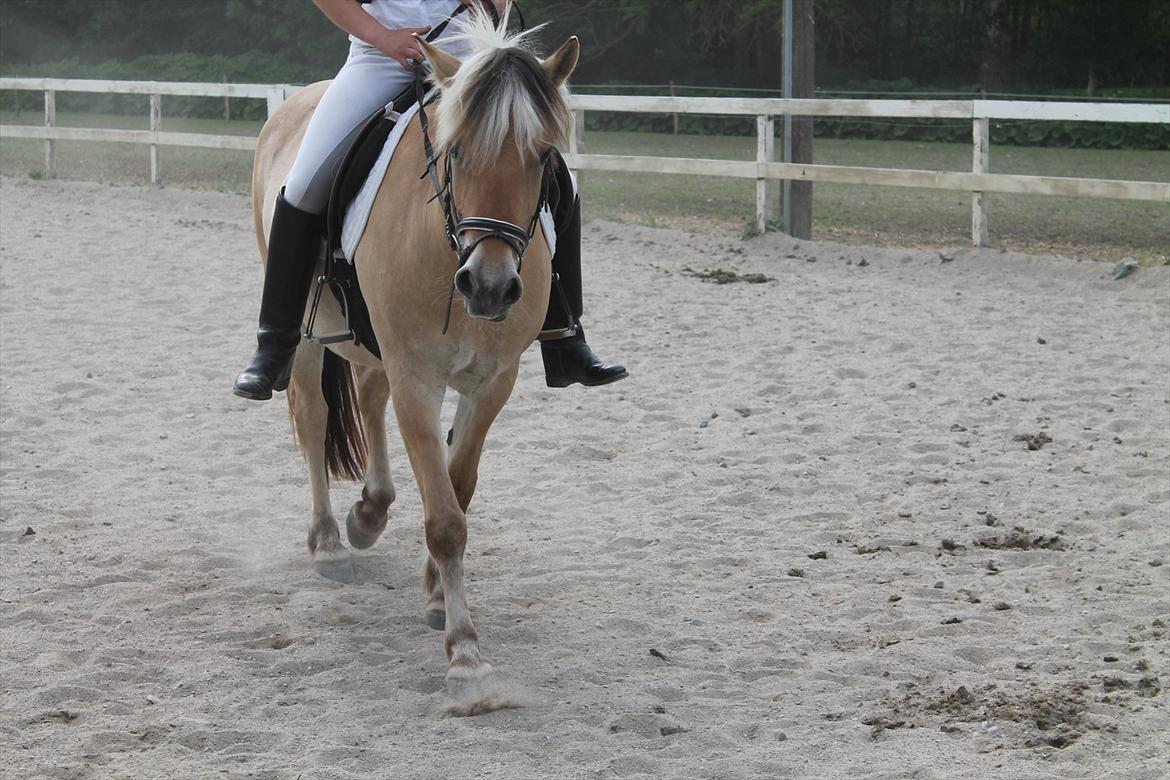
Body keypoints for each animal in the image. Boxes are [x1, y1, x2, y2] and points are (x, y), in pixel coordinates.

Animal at [249, 15, 577, 687]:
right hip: (306, 335)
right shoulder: (417, 380)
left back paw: (370, 512)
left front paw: (433, 593)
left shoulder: (494, 381)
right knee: (313, 416)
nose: (489, 287)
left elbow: (459, 486)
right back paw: (329, 541)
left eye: (541, 157)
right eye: (456, 151)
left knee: (368, 399)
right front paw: (465, 652)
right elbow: (446, 518)